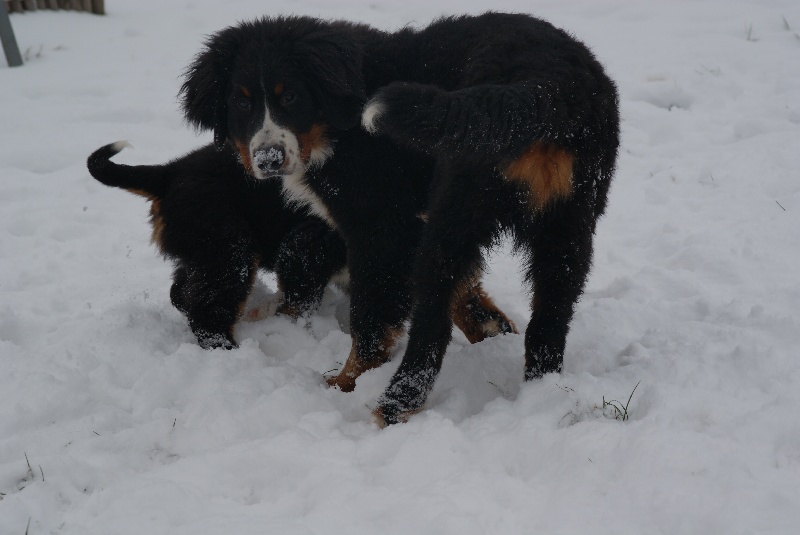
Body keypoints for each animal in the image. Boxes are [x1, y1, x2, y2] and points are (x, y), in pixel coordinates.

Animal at [87, 142, 346, 350]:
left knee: (181, 292)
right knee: (207, 314)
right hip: (229, 250)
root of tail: (171, 172)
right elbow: (299, 303)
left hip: (202, 252)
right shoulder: (306, 246)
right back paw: (234, 352)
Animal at [180, 10, 620, 426]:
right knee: (550, 318)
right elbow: (467, 296)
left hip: (455, 212)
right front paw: (493, 330)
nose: (269, 160)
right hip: (568, 223)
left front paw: (347, 383)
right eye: (241, 102)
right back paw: (542, 394)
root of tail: (546, 83)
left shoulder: (381, 228)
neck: (335, 124)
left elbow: (371, 319)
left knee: (430, 325)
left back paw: (392, 405)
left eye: (290, 97)